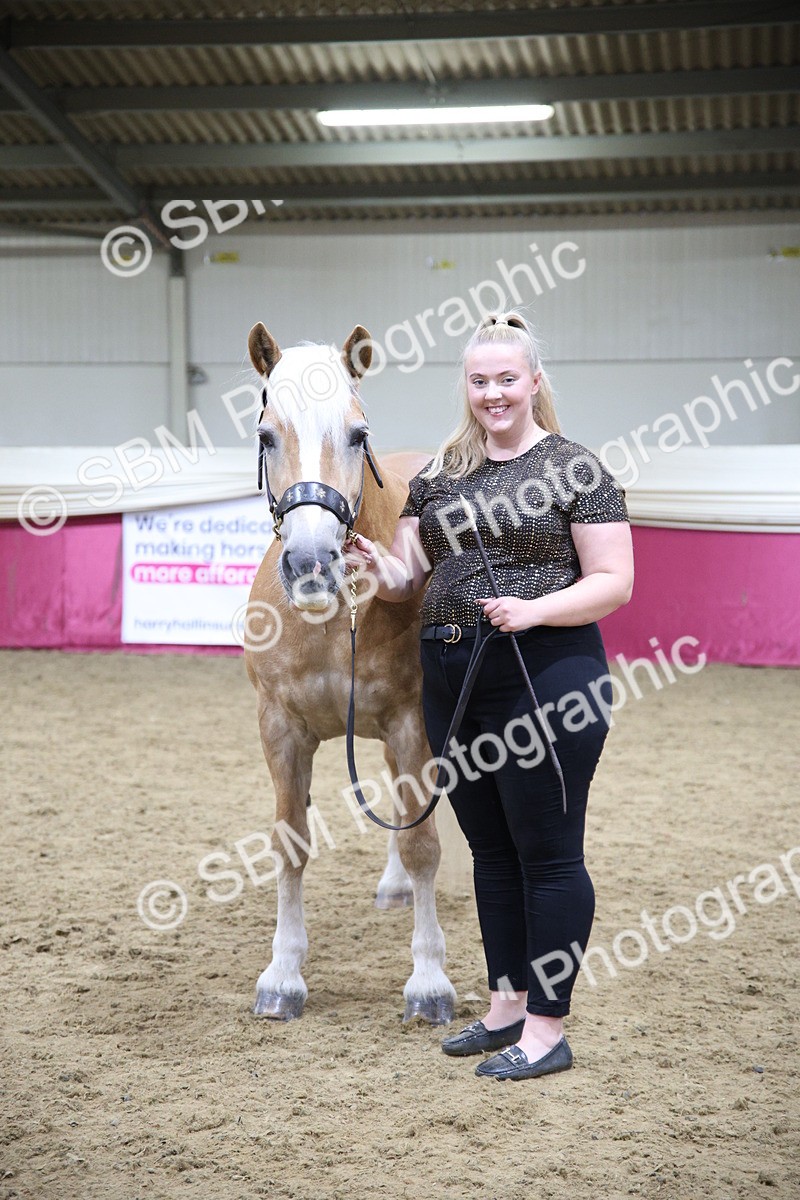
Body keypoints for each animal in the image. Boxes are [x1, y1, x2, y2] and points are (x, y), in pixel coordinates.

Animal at [243, 321, 456, 1025]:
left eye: (358, 434)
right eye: (266, 435)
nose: (312, 562)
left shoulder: (413, 722)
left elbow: (423, 844)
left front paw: (429, 980)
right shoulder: (280, 728)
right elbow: (290, 841)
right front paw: (283, 974)